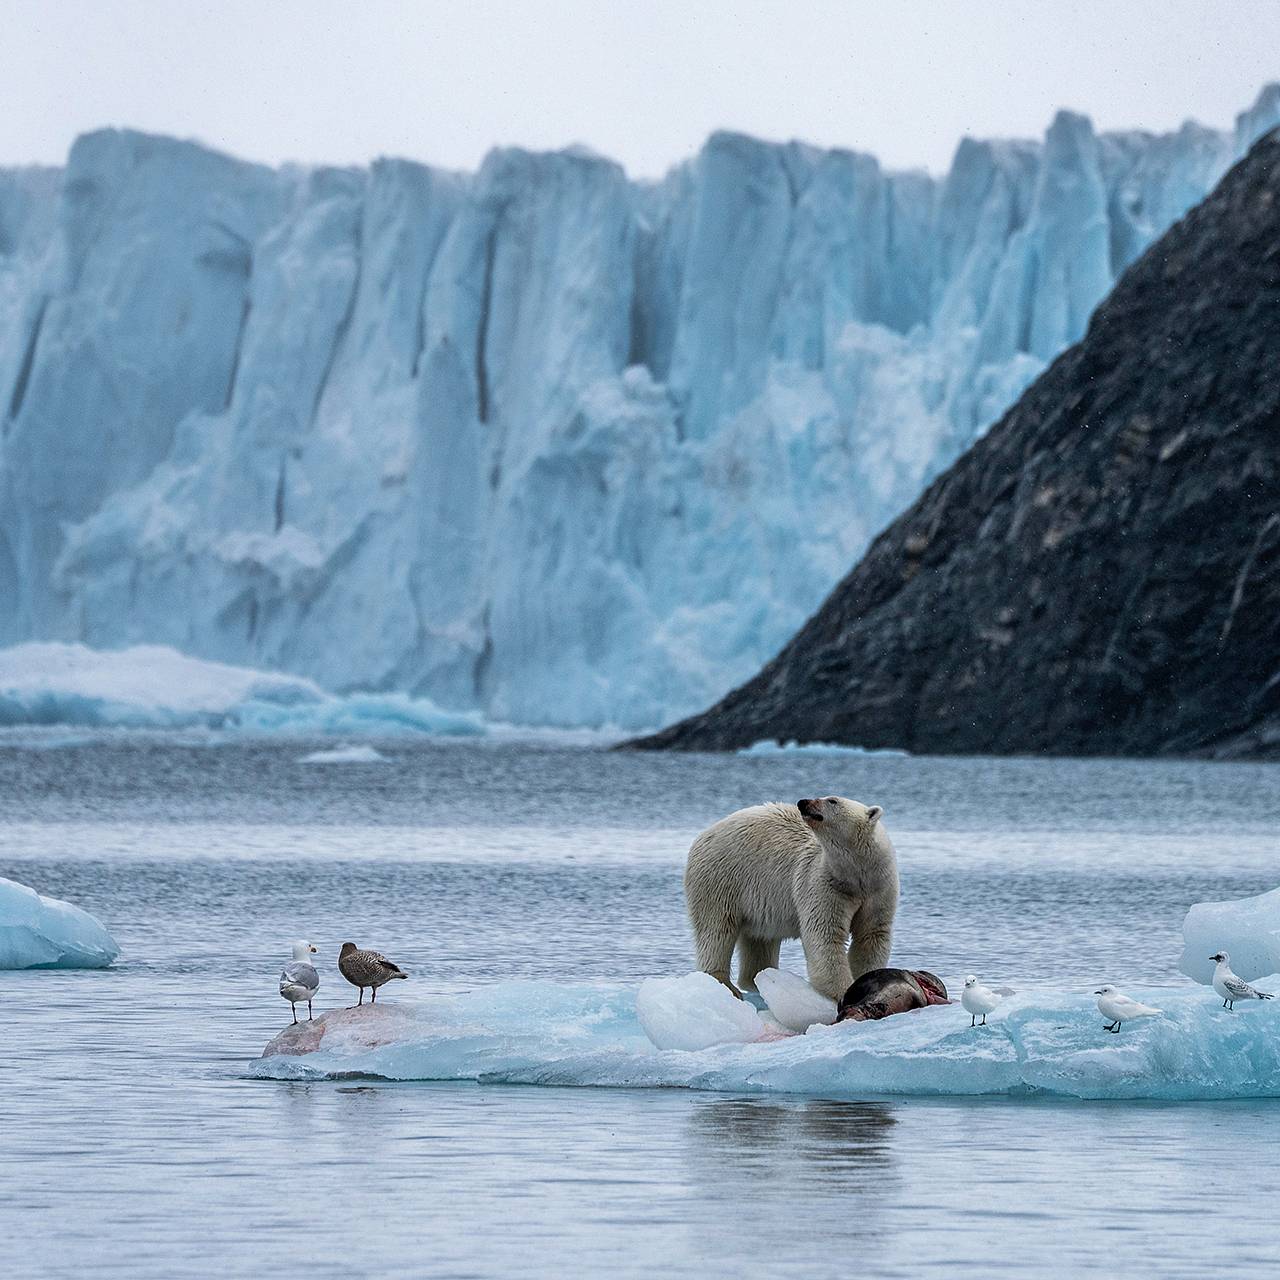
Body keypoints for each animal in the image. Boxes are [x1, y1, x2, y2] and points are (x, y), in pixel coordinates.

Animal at [686, 798, 896, 998]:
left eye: (832, 800)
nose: (803, 802)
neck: (856, 874)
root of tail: (703, 834)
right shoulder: (824, 884)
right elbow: (825, 935)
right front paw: (843, 992)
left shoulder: (879, 889)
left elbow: (871, 935)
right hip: (721, 879)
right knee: (717, 928)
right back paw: (724, 982)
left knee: (759, 939)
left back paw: (760, 978)